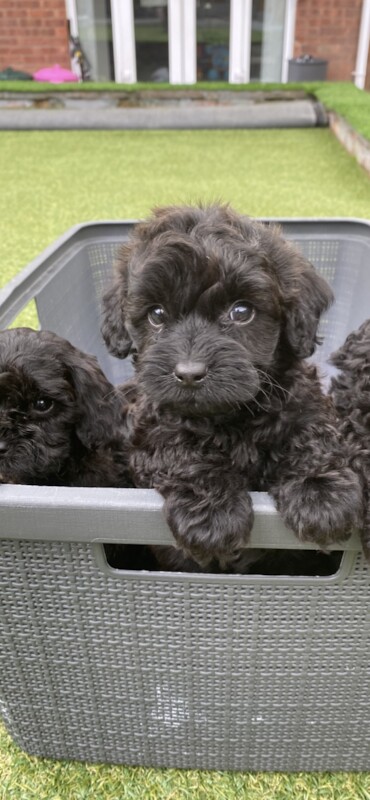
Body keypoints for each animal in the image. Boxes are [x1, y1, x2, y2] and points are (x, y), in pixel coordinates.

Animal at [101, 206, 362, 568]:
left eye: (241, 311)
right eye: (156, 314)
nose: (189, 373)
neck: (229, 417)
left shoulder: (302, 401)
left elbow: (310, 434)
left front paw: (320, 492)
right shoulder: (150, 424)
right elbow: (178, 449)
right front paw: (212, 512)